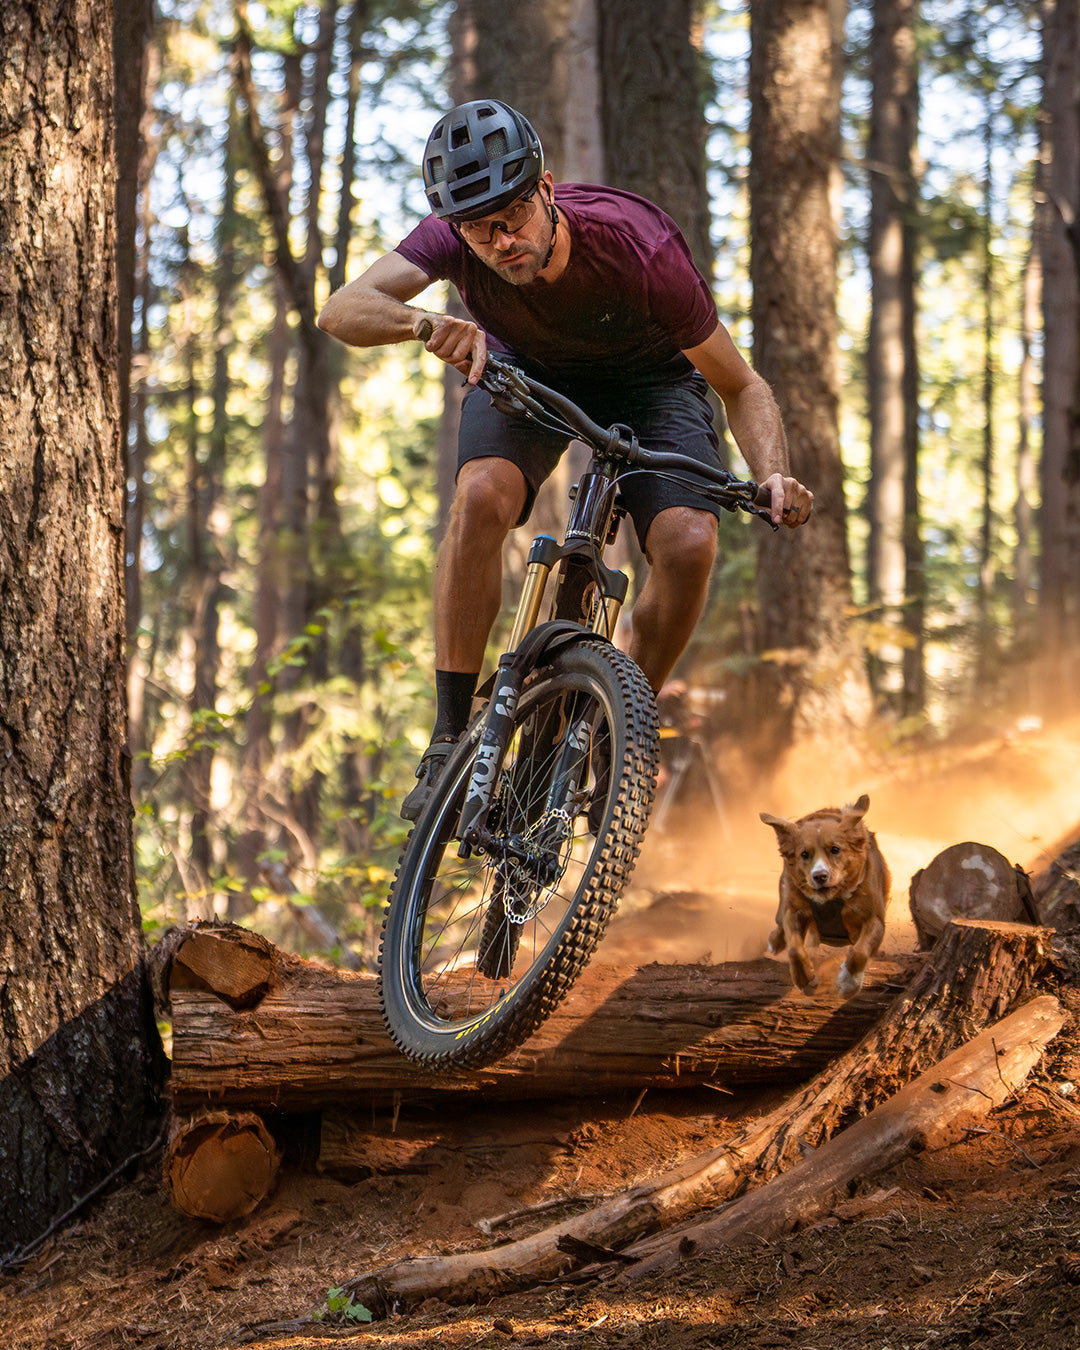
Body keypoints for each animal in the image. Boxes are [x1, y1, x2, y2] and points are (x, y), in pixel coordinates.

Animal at [761, 788, 885, 1004]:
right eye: (804, 854)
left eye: (835, 849)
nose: (819, 876)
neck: (832, 898)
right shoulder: (794, 910)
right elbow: (794, 949)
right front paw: (805, 980)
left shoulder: (874, 918)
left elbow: (860, 951)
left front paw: (848, 983)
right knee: (779, 924)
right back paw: (775, 942)